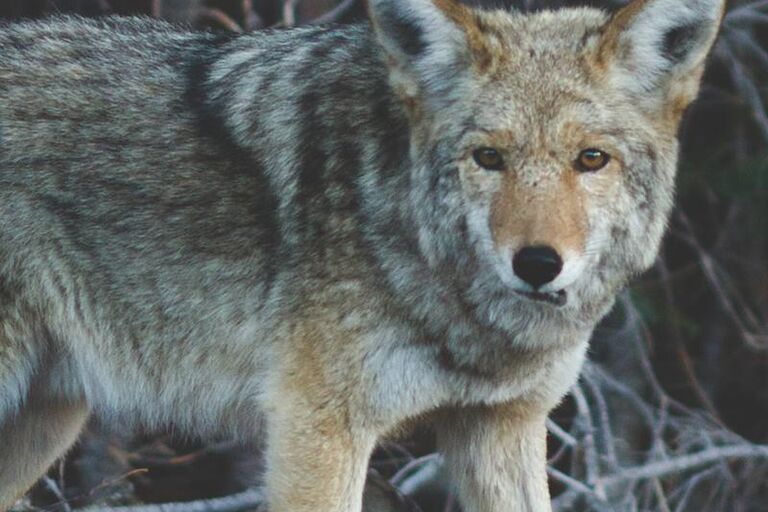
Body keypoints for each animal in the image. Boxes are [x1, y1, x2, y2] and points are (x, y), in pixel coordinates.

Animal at [0, 0, 724, 510]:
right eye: (488, 158)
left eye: (590, 160)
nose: (538, 263)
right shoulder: (318, 429)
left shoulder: (501, 425)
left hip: (48, 419)